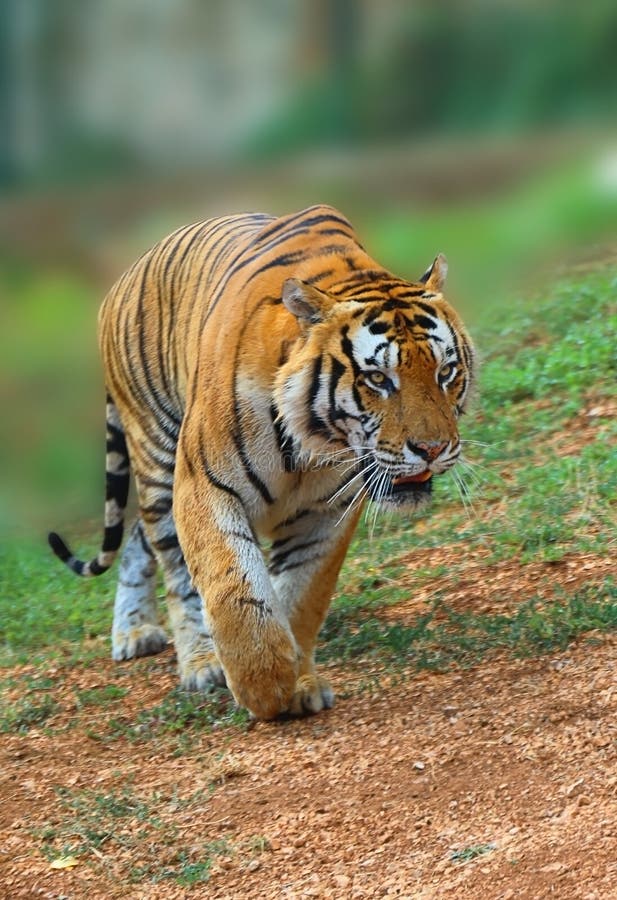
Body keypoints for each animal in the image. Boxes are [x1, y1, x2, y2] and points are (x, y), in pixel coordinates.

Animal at [49, 204, 476, 716]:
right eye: (377, 378)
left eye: (445, 371)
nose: (431, 449)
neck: (314, 444)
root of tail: (123, 276)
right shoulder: (203, 485)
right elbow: (233, 588)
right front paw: (264, 685)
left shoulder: (328, 509)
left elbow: (300, 596)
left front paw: (299, 682)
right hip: (158, 456)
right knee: (172, 563)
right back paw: (195, 659)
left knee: (137, 538)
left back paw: (135, 630)